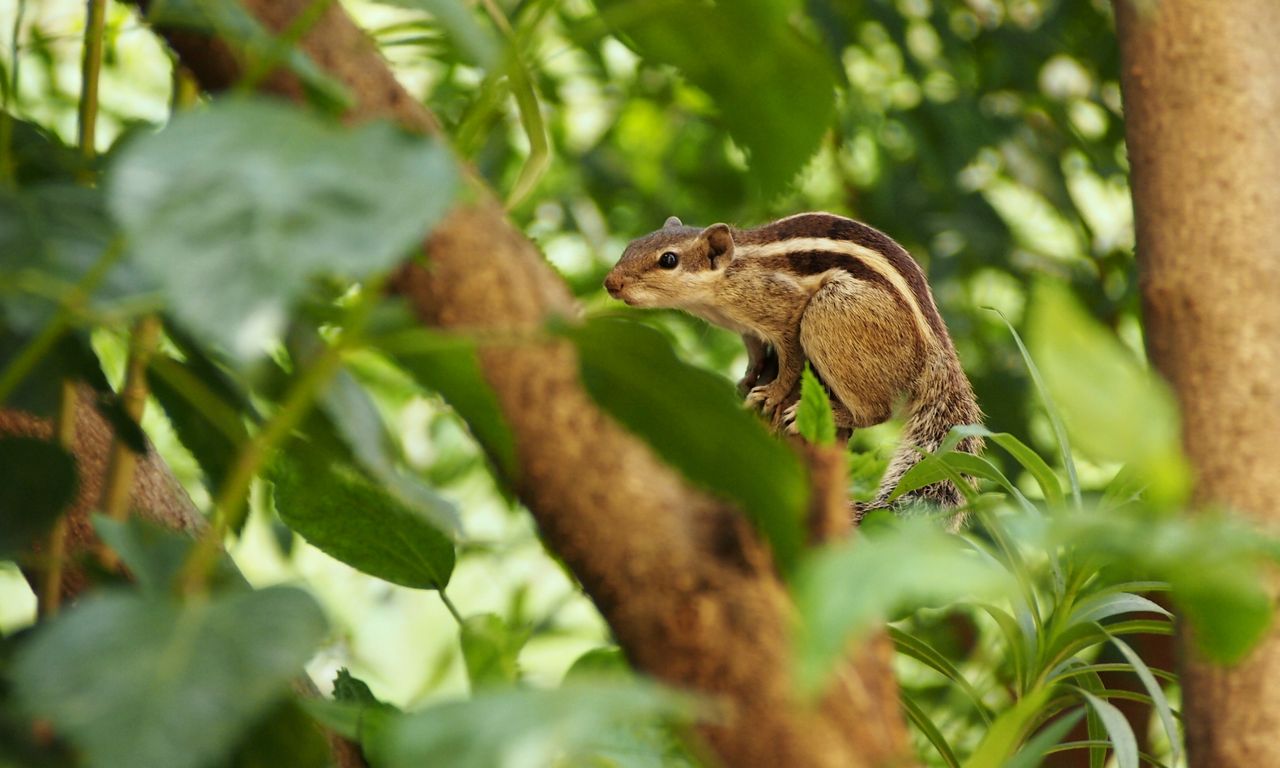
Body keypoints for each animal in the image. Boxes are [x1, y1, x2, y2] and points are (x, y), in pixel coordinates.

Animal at [604, 209, 983, 509]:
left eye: (668, 260)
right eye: (633, 244)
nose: (610, 283)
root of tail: (937, 352)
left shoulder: (786, 313)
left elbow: (790, 361)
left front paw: (771, 394)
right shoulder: (748, 329)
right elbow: (756, 353)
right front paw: (747, 380)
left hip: (828, 315)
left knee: (877, 411)